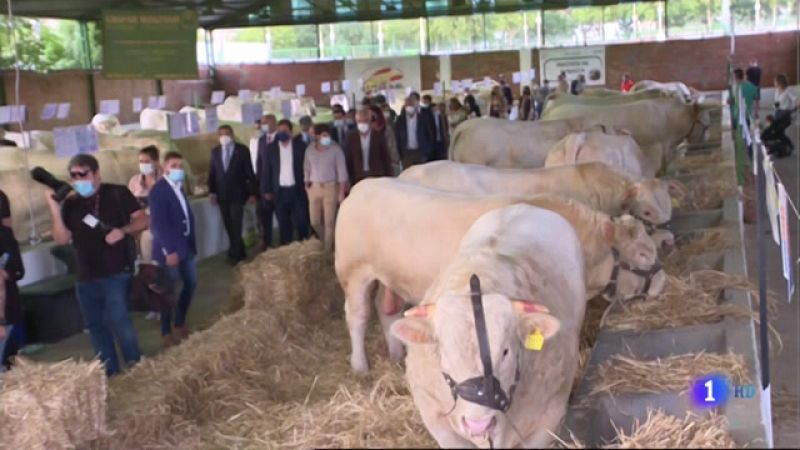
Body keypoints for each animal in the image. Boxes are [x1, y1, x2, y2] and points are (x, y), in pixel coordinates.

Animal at [392, 204, 584, 446]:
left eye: (505, 352)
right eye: (445, 355)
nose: (479, 424)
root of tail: (524, 206)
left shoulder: (550, 417)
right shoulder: (435, 417)